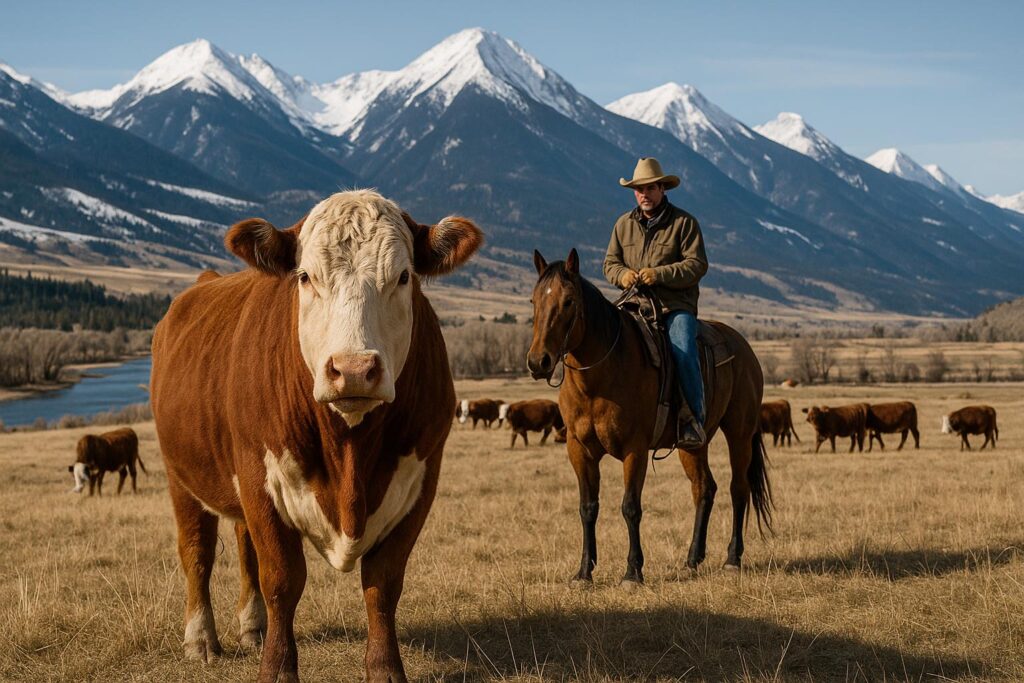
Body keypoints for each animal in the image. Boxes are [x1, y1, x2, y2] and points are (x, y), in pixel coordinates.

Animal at [150, 190, 482, 683]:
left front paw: (385, 669)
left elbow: (383, 584)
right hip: (182, 476)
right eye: (305, 277)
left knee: (244, 549)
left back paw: (252, 629)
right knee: (198, 552)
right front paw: (277, 669)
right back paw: (201, 638)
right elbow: (282, 579)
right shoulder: (260, 478)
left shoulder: (420, 482)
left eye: (404, 276)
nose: (354, 369)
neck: (349, 452)